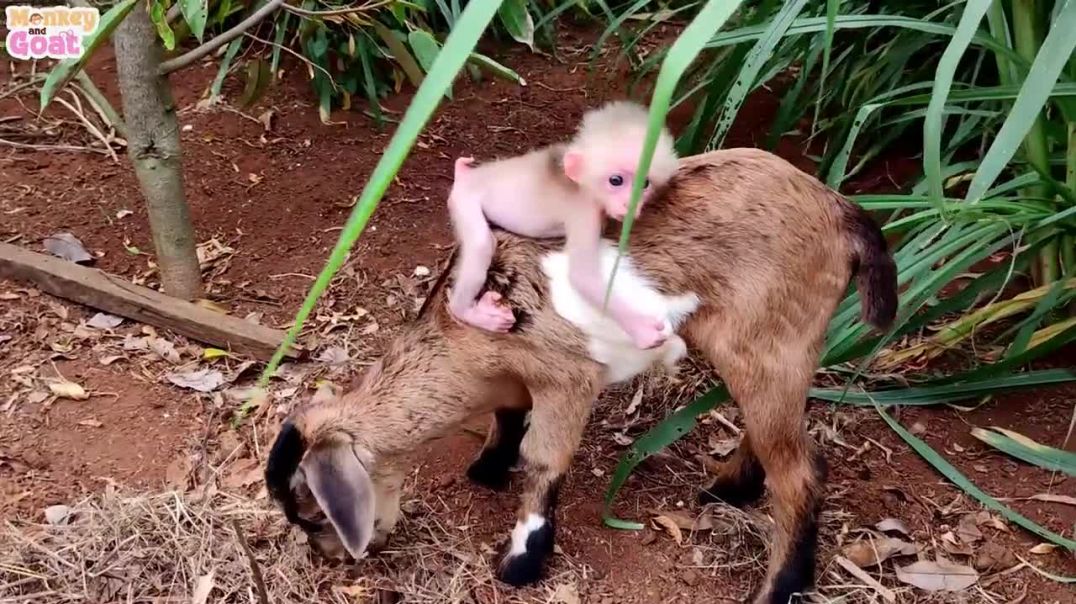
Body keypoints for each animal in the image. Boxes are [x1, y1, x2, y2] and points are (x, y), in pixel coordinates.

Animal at [264, 148, 897, 604]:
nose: (336, 558)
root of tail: (841, 208)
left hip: (768, 340)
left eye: (315, 512)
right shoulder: (516, 379)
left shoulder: (567, 376)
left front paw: (519, 563)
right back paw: (727, 489)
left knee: (801, 471)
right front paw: (487, 468)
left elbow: (545, 459)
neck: (465, 335)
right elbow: (507, 417)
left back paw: (776, 588)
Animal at [445, 100, 680, 349]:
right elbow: (583, 277)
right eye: (616, 181)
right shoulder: (584, 212)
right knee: (482, 244)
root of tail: (469, 177)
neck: (582, 185)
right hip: (464, 200)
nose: (631, 203)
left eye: (645, 183)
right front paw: (642, 330)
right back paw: (466, 312)